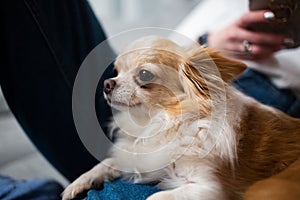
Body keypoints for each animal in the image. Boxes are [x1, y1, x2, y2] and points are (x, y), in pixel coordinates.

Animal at [62, 36, 300, 200]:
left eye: (145, 75)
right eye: (116, 71)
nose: (107, 84)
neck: (164, 122)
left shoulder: (209, 189)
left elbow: (154, 197)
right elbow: (110, 162)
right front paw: (78, 182)